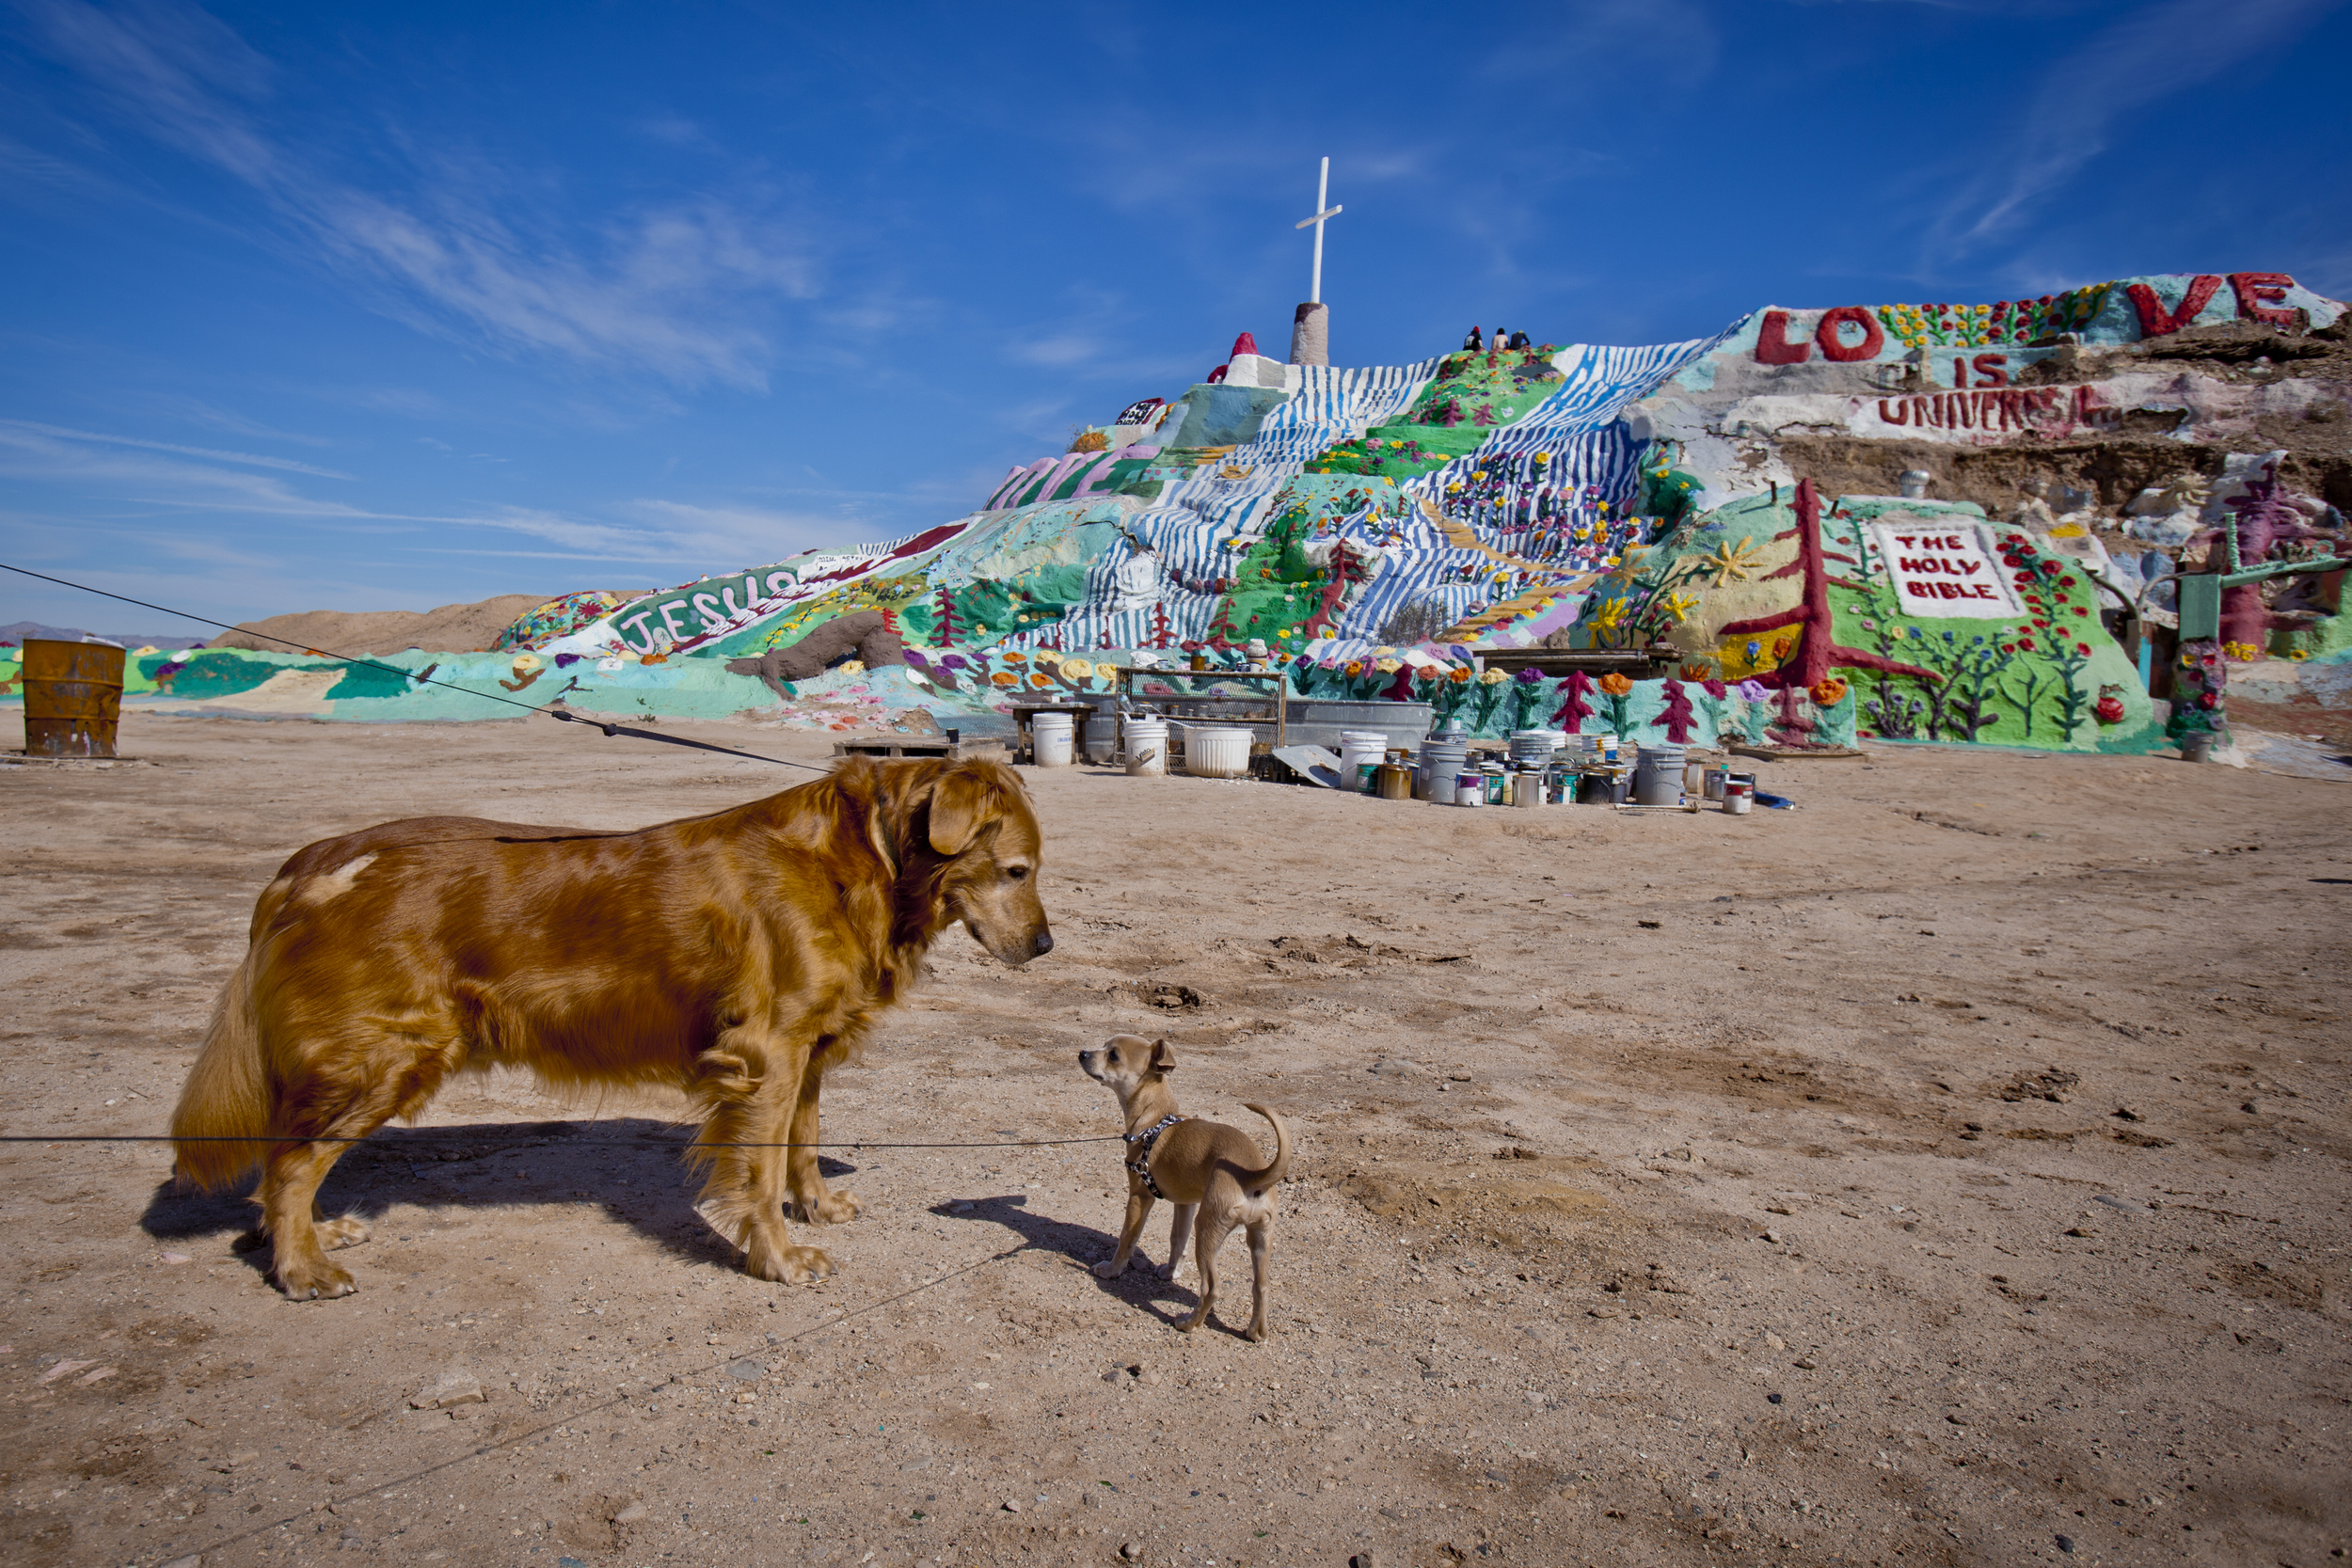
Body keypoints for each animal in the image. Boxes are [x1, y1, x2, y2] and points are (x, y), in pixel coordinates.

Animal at [179, 761, 1063, 1297]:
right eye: (1018, 871)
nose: (1047, 944)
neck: (870, 857)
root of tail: (310, 862)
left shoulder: (807, 1047)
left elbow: (804, 1144)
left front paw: (816, 1206)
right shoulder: (767, 1052)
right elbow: (761, 1170)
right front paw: (777, 1256)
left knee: (284, 1156)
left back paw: (302, 1236)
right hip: (387, 1053)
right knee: (291, 1161)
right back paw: (302, 1263)